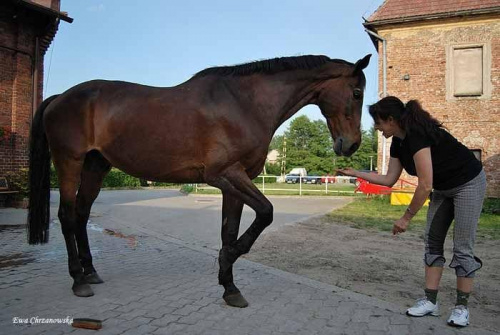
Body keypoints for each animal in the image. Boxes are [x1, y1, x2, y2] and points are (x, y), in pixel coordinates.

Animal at [28, 53, 372, 308]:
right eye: (356, 93)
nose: (351, 144)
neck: (245, 103)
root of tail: (60, 98)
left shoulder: (236, 181)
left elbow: (229, 231)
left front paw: (230, 287)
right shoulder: (225, 174)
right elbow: (265, 213)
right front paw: (226, 262)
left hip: (96, 167)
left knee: (82, 214)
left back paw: (90, 272)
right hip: (69, 162)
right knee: (67, 215)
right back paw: (77, 280)